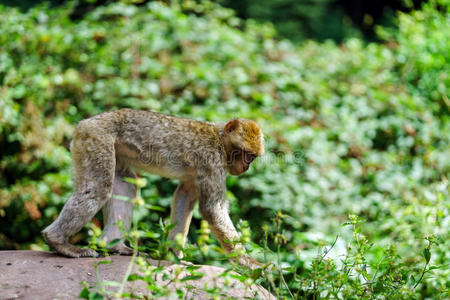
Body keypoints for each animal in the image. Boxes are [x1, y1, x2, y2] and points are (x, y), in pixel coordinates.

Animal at [43, 109, 264, 268]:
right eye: (243, 153)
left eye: (252, 157)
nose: (245, 167)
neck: (219, 140)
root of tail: (86, 122)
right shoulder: (211, 162)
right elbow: (212, 209)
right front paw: (248, 262)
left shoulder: (197, 175)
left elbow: (185, 197)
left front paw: (175, 256)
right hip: (96, 140)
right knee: (98, 188)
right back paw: (59, 241)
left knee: (125, 186)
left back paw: (115, 245)